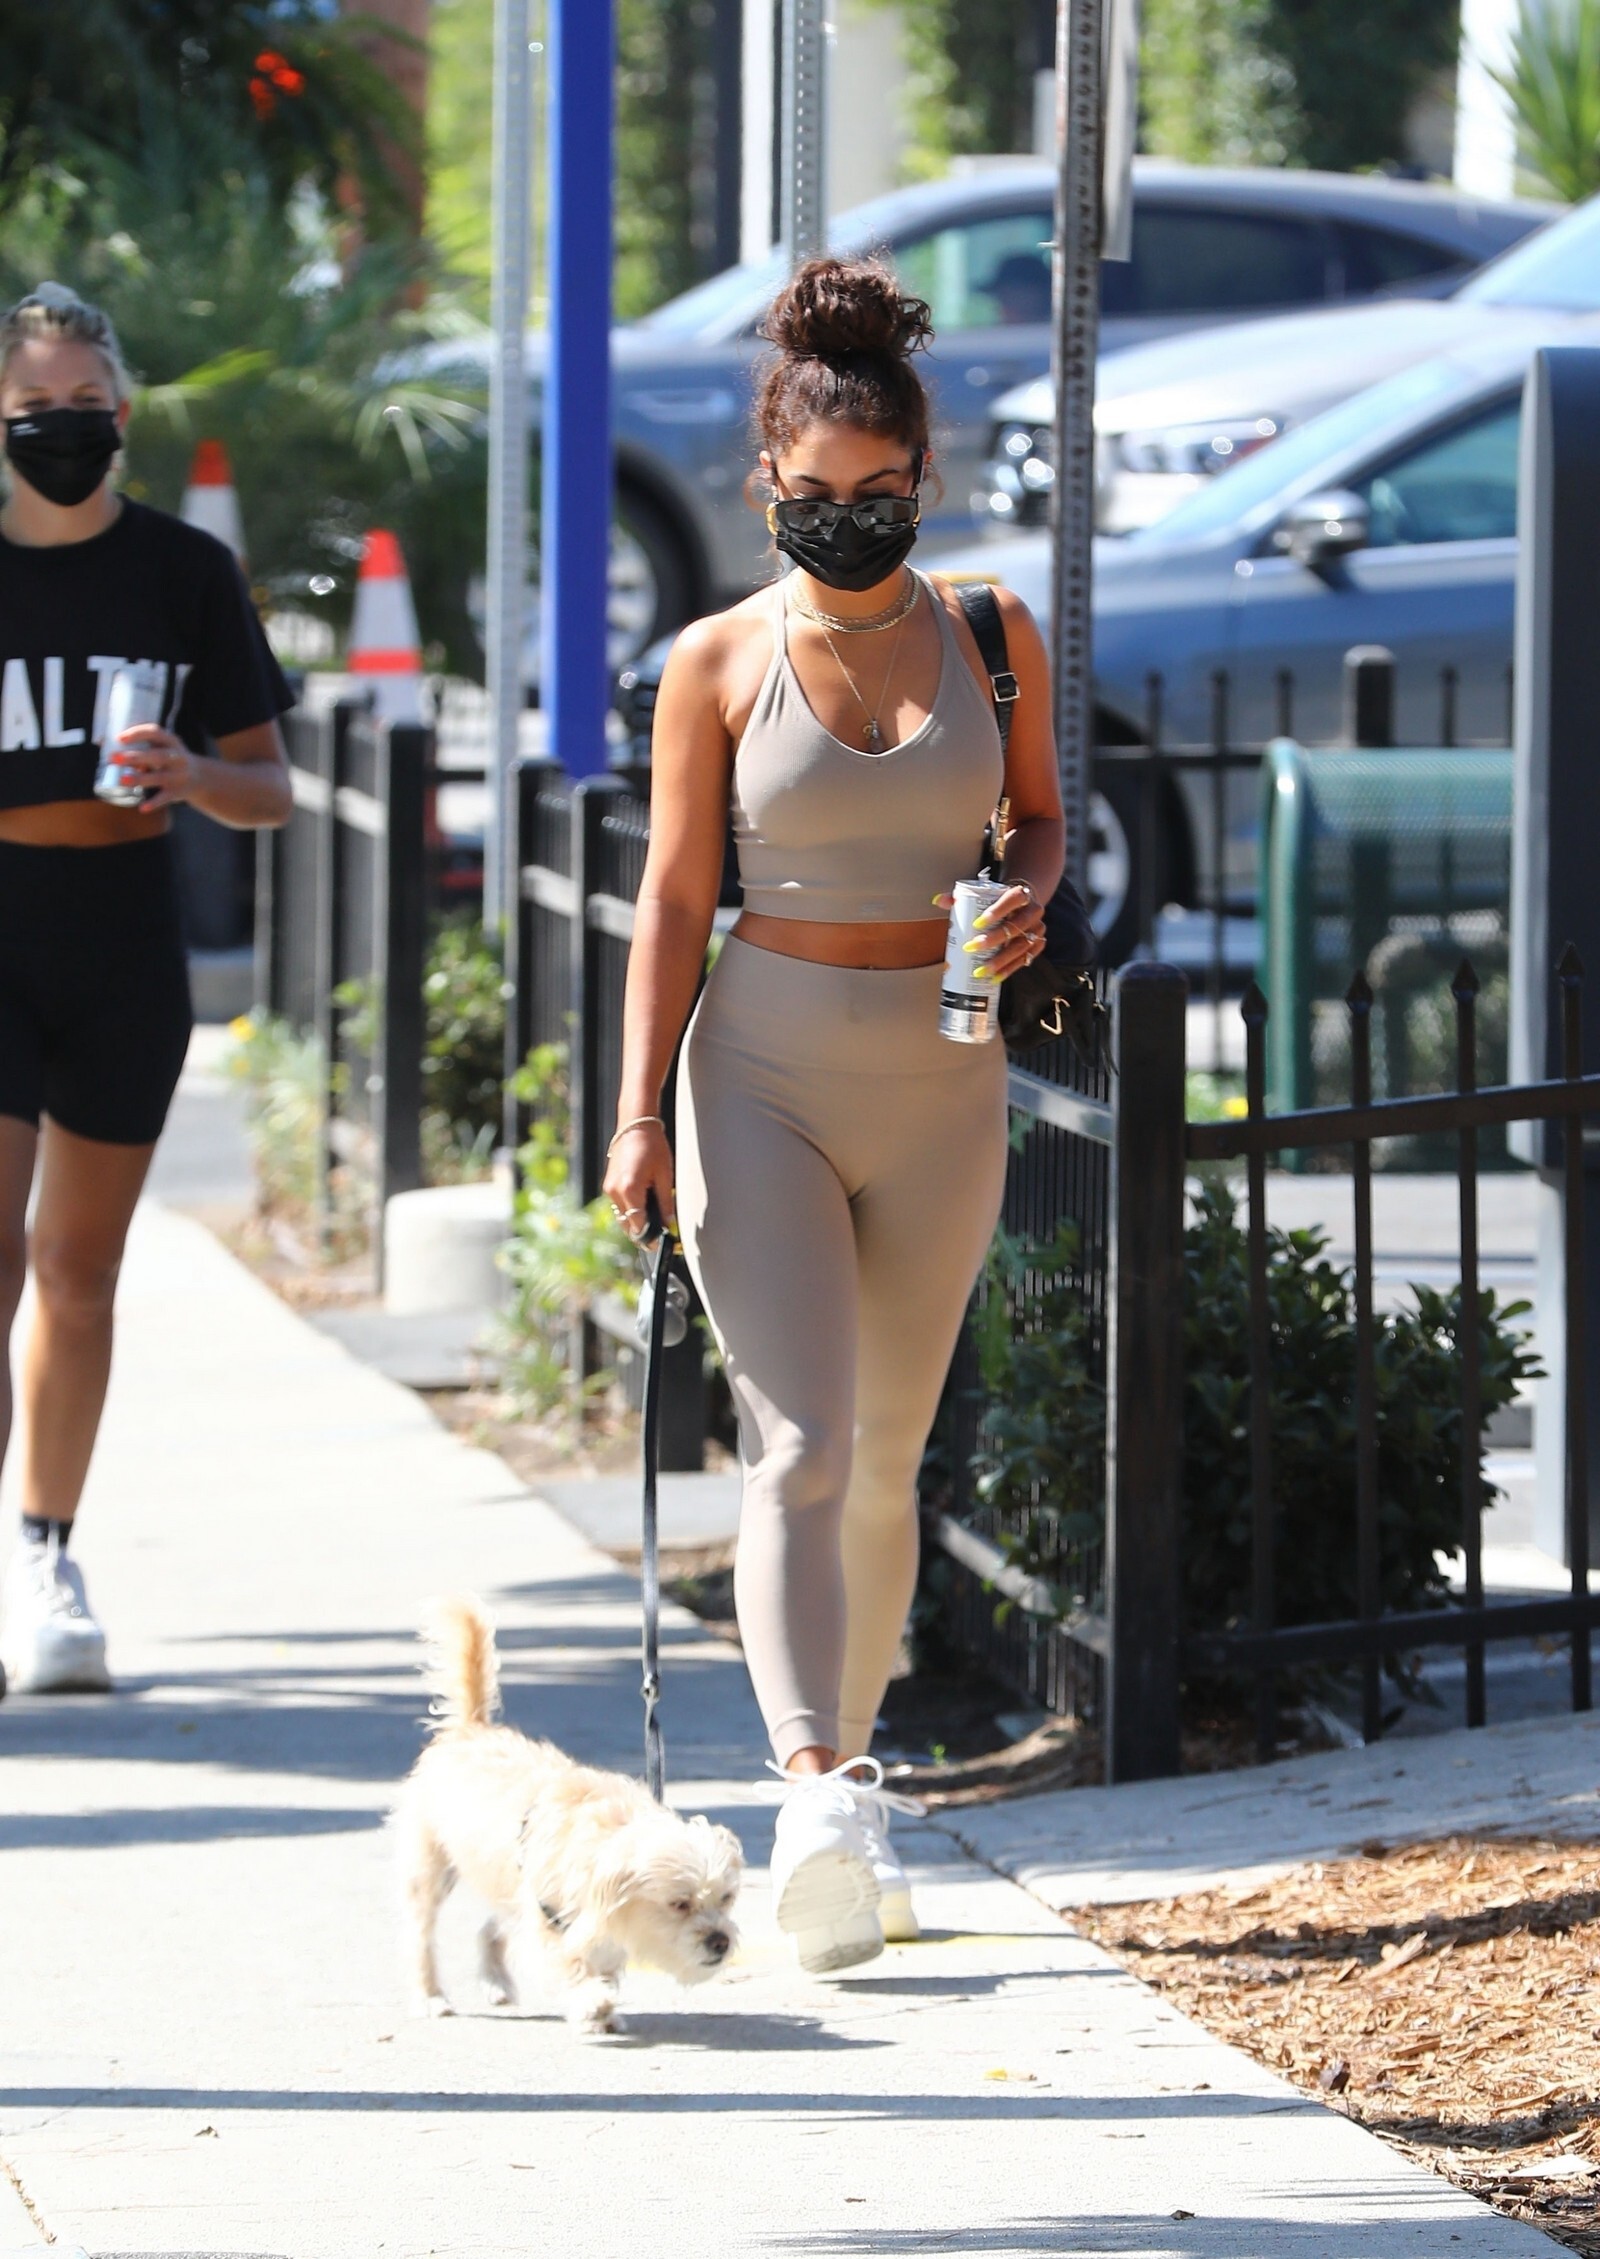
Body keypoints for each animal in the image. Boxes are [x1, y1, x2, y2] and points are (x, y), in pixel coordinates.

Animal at [394, 1596, 743, 2034]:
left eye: (726, 1898)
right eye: (679, 1904)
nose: (720, 1941)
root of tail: (471, 1729)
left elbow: (599, 1962)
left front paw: (605, 2009)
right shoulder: (550, 1924)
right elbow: (570, 1963)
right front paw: (592, 2002)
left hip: (510, 1888)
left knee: (494, 1926)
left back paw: (496, 1980)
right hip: (431, 1874)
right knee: (420, 1936)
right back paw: (430, 1996)